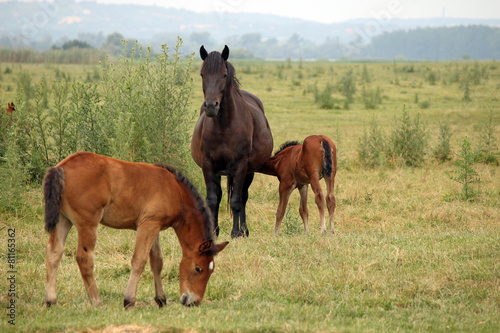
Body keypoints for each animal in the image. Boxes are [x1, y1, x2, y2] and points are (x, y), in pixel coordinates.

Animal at [44, 152, 229, 308]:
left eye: (211, 271)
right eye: (198, 268)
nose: (192, 302)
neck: (176, 191)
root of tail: (62, 167)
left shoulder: (155, 226)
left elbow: (157, 262)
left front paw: (161, 299)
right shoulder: (148, 225)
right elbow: (139, 260)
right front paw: (129, 301)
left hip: (63, 220)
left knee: (54, 254)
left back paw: (51, 301)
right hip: (88, 223)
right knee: (84, 258)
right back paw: (97, 301)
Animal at [191, 45, 274, 237]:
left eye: (224, 75)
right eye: (202, 75)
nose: (211, 106)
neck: (224, 126)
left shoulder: (241, 166)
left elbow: (236, 200)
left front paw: (236, 232)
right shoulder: (208, 165)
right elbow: (213, 199)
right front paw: (213, 231)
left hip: (249, 171)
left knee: (243, 196)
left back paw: (244, 230)